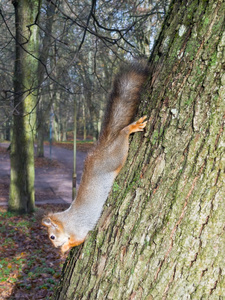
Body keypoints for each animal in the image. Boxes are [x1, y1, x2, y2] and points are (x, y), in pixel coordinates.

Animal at [41, 59, 149, 252]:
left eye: (52, 236)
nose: (54, 247)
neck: (66, 222)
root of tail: (101, 149)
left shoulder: (78, 230)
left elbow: (78, 240)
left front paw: (64, 249)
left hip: (115, 156)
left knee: (122, 135)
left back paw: (131, 128)